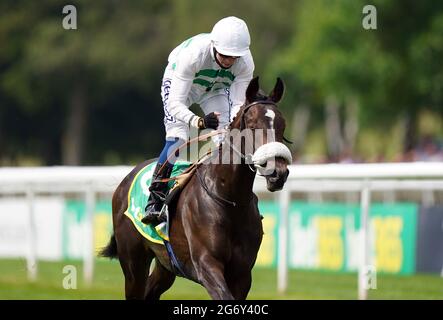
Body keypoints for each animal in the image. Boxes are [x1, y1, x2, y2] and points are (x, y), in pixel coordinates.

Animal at [102, 76, 294, 298]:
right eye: (253, 125)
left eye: (282, 125)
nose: (278, 173)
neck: (230, 199)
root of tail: (127, 178)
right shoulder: (206, 264)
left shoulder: (243, 274)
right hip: (133, 263)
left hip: (165, 264)